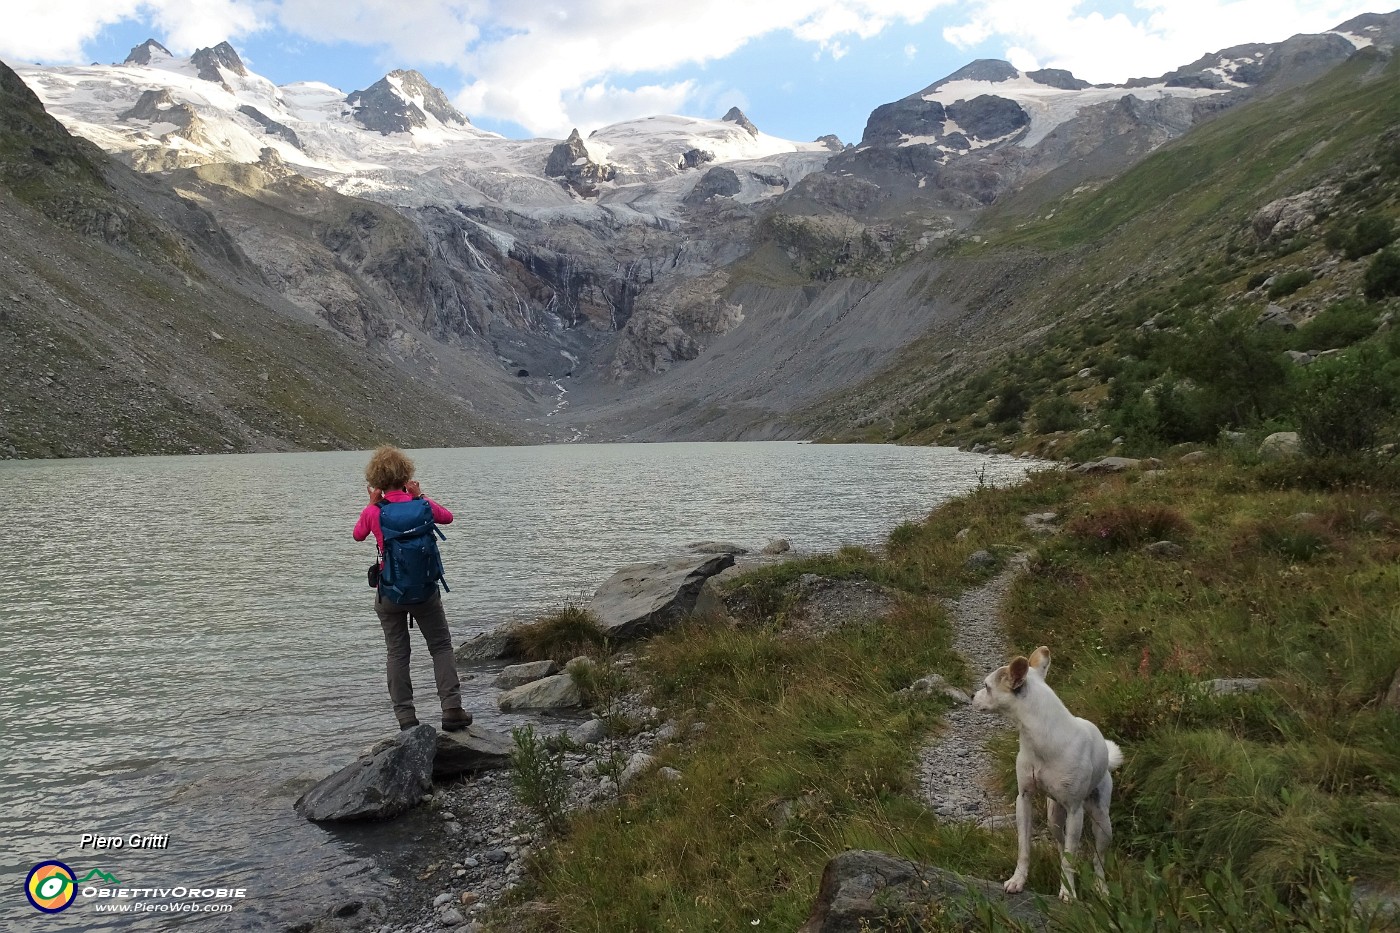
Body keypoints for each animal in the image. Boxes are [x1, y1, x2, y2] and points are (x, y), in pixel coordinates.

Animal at [974, 644, 1125, 896]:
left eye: (986, 686)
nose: (971, 696)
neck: (1039, 741)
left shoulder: (1075, 812)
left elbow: (1072, 857)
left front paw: (1068, 893)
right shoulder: (1024, 799)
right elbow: (1025, 848)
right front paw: (1018, 880)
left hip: (1102, 823)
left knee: (1098, 859)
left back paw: (1100, 887)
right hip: (1054, 817)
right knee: (1062, 845)